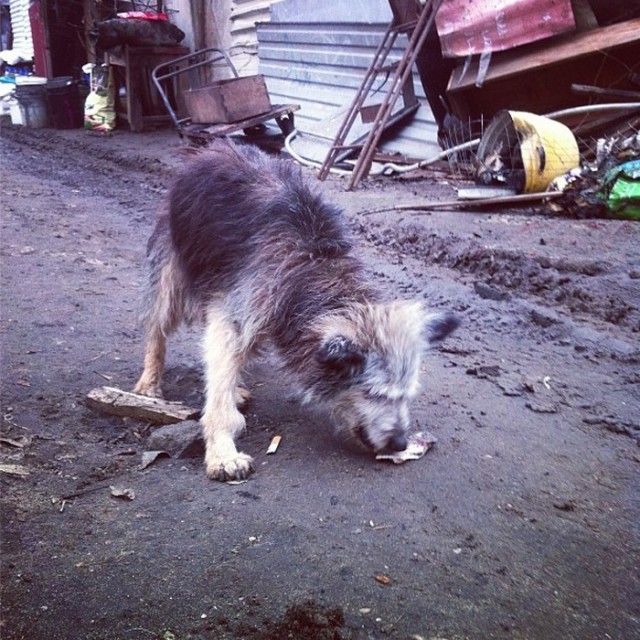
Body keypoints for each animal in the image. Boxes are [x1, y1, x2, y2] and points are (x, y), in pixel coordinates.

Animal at [132, 140, 458, 480]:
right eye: (373, 394)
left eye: (407, 395)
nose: (399, 443)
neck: (316, 266)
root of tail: (209, 148)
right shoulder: (234, 314)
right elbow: (221, 380)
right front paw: (223, 451)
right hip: (171, 267)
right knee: (157, 327)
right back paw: (149, 383)